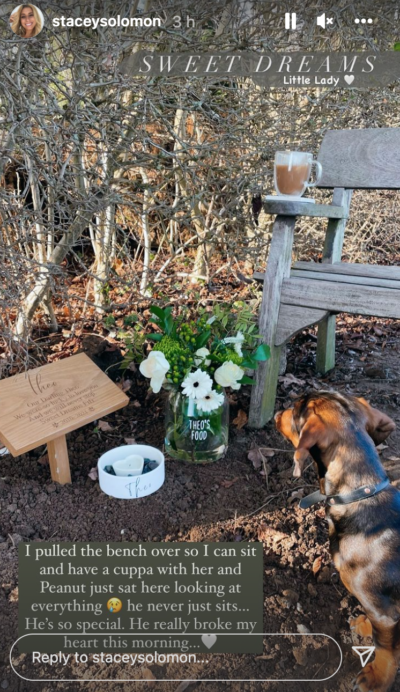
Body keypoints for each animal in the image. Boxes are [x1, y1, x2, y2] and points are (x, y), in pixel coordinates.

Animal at [276, 392, 398, 692]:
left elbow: (386, 648)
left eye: (295, 410)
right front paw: (364, 624)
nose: (276, 414)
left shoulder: (385, 612)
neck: (360, 494)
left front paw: (377, 678)